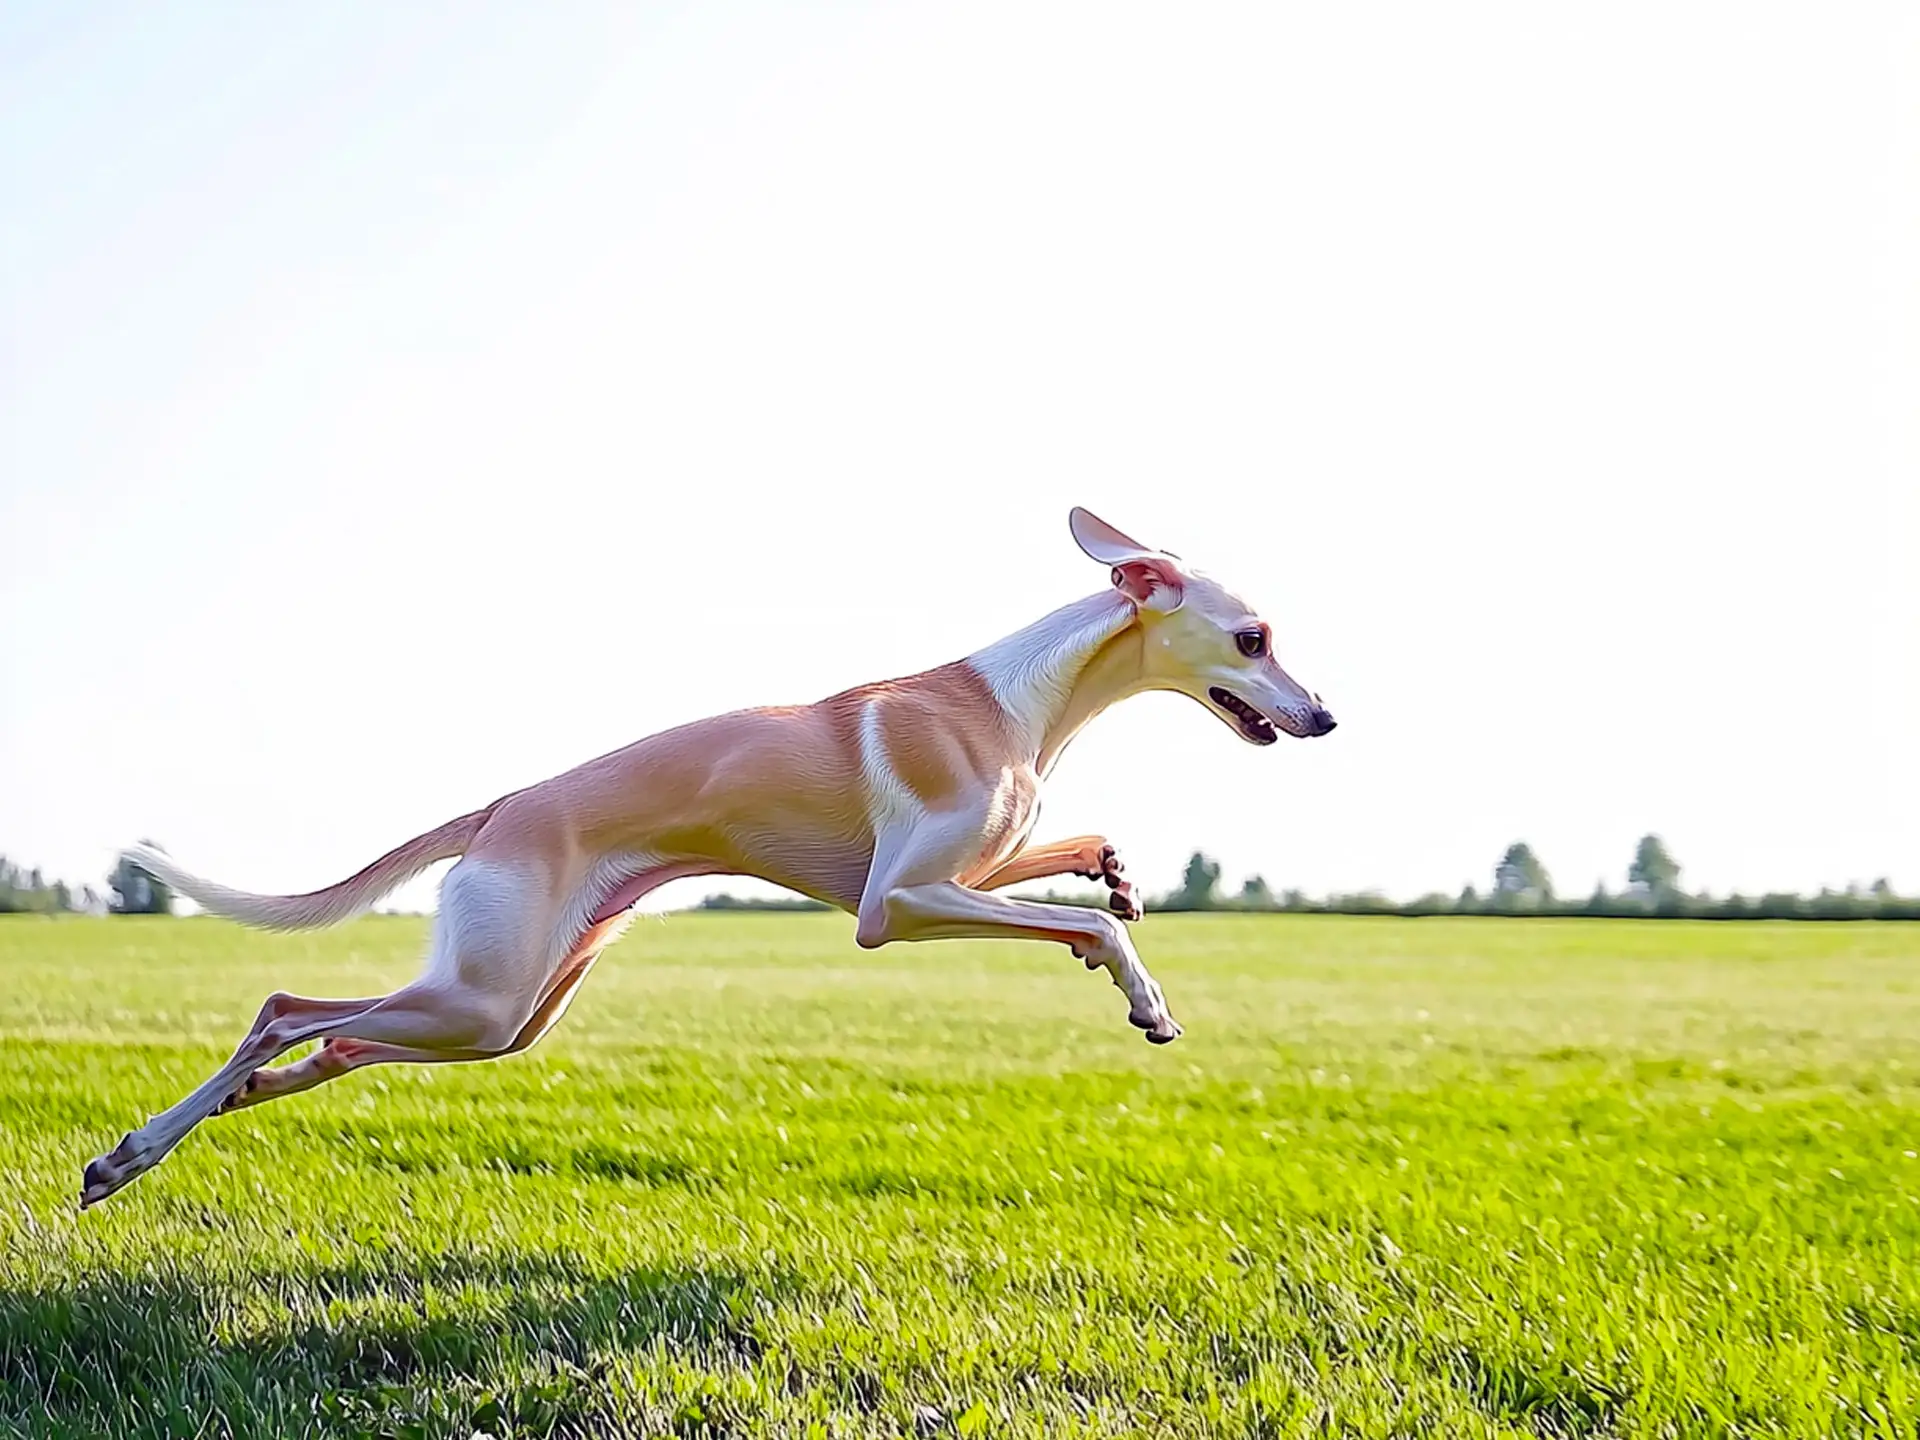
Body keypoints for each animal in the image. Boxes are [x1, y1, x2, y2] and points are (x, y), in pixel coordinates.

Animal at [78, 506, 1336, 1205]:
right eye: (1254, 637)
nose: (1325, 716)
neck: (1018, 697)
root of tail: (497, 810)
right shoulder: (897, 904)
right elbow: (1088, 921)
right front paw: (1140, 990)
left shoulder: (966, 875)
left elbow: (1077, 866)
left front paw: (1115, 876)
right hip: (484, 997)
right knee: (286, 1009)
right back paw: (131, 1150)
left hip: (506, 1012)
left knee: (332, 1043)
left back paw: (197, 1123)